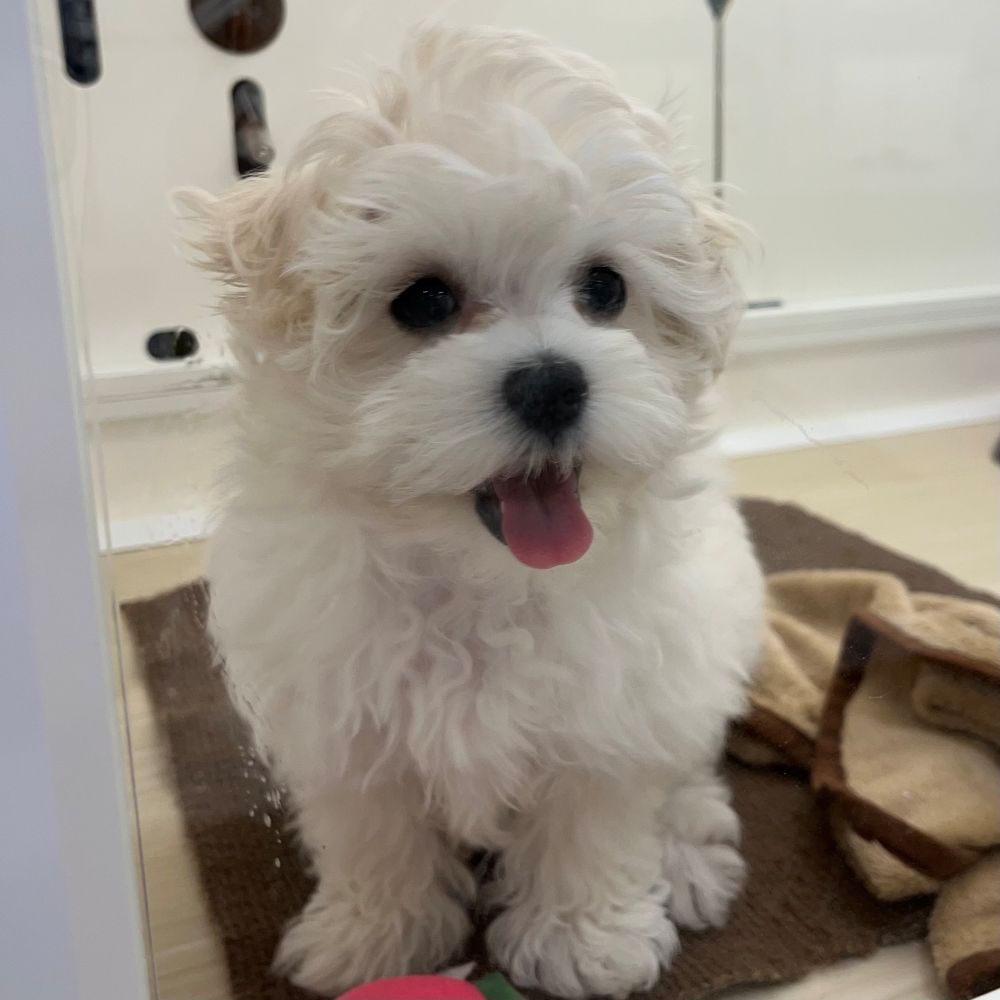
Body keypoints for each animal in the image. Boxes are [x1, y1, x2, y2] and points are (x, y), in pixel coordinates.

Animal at [183, 25, 764, 999]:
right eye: (423, 300)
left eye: (605, 289)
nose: (553, 383)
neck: (477, 580)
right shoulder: (343, 713)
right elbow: (373, 832)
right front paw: (374, 936)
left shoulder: (612, 706)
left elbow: (594, 818)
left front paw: (584, 942)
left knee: (683, 771)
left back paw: (687, 856)